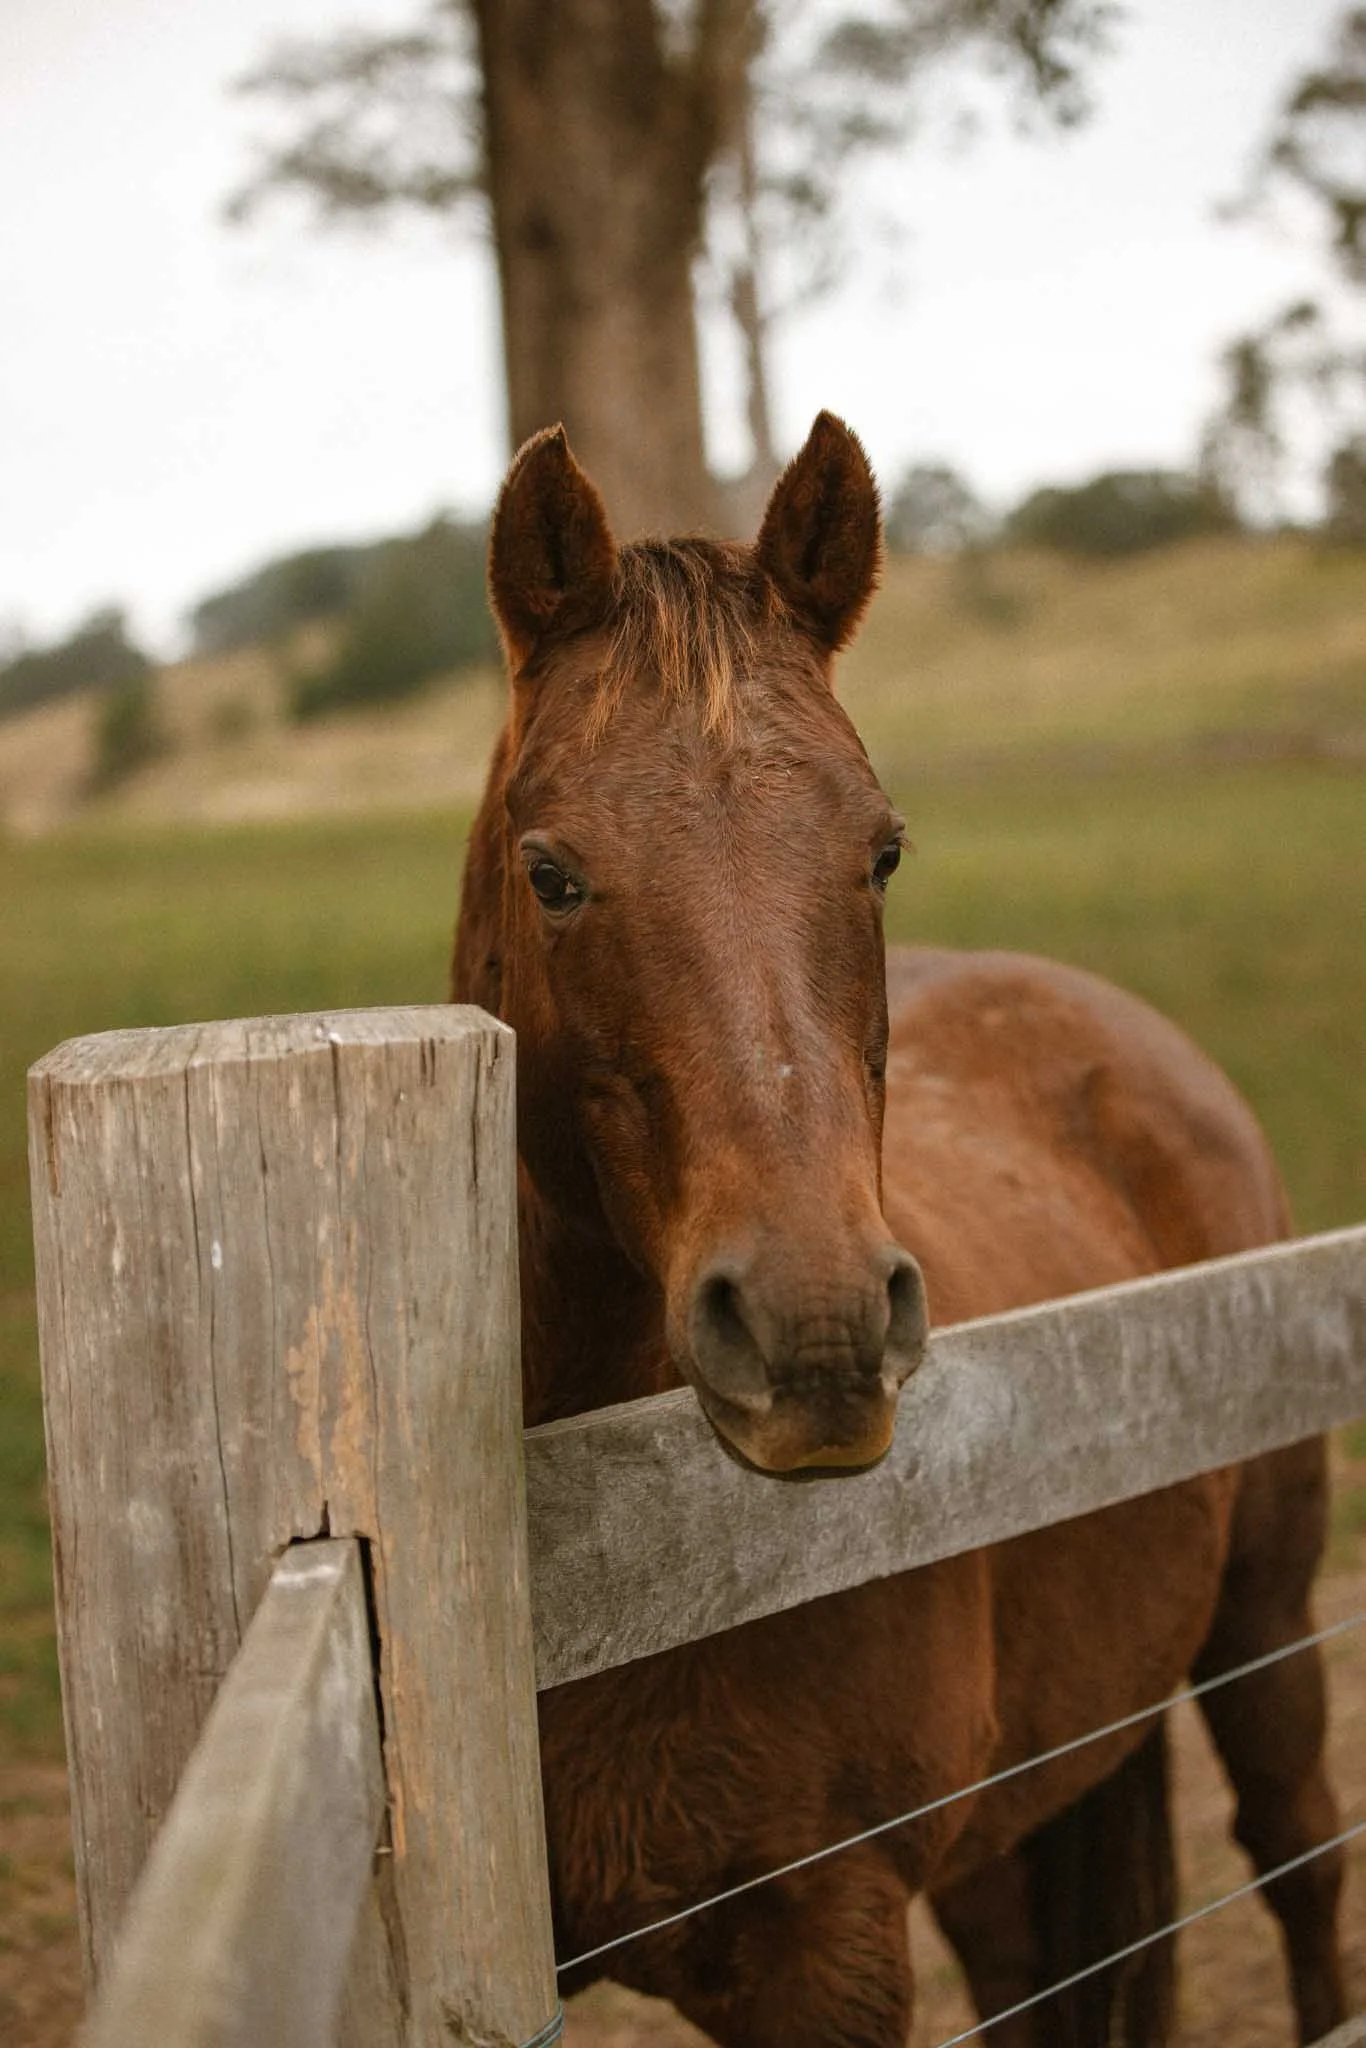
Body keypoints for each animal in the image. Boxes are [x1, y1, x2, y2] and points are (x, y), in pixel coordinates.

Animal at [451, 413, 1346, 2047]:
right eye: (551, 873)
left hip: (1262, 1621)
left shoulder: (830, 1948)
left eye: (878, 854)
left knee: (1302, 1864)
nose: (817, 1331)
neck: (603, 1577)